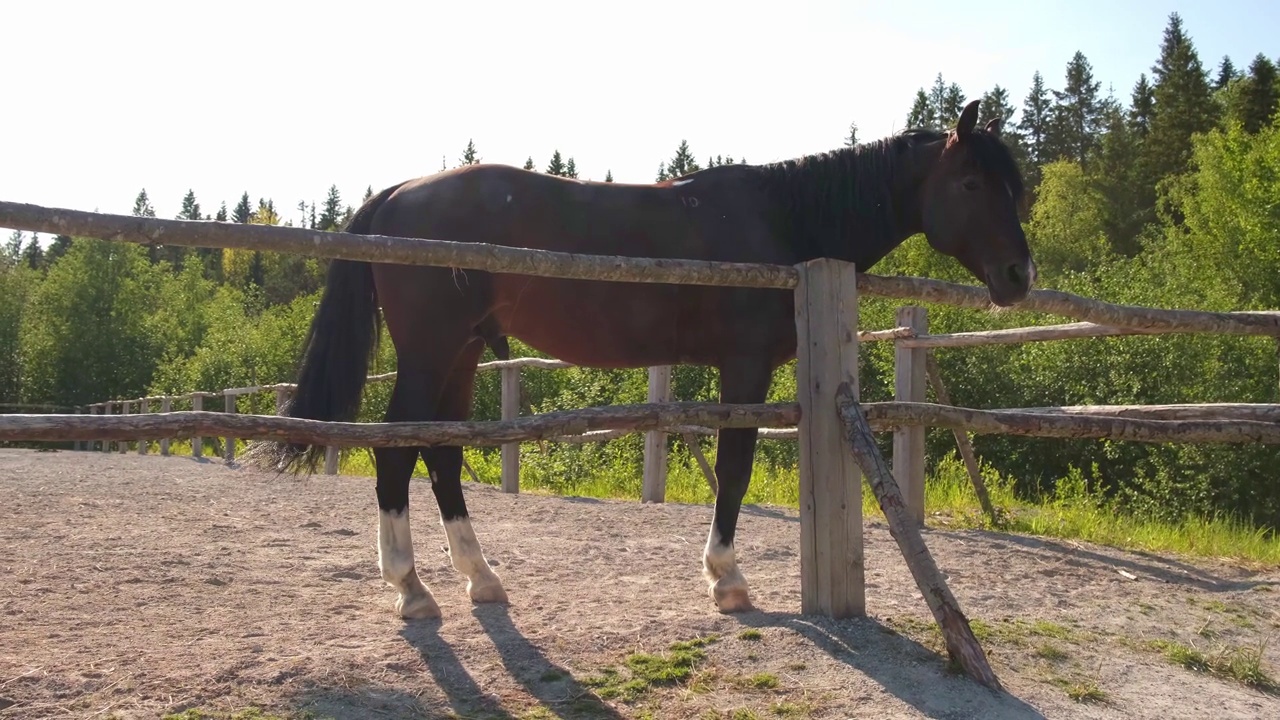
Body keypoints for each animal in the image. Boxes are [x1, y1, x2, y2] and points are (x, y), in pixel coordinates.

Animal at [244, 99, 1034, 617]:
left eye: (1015, 184)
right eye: (970, 183)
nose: (1020, 276)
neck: (783, 221)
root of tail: (398, 194)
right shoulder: (744, 366)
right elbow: (735, 466)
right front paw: (726, 580)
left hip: (462, 355)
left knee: (441, 455)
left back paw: (481, 579)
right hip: (430, 355)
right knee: (396, 452)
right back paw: (411, 590)